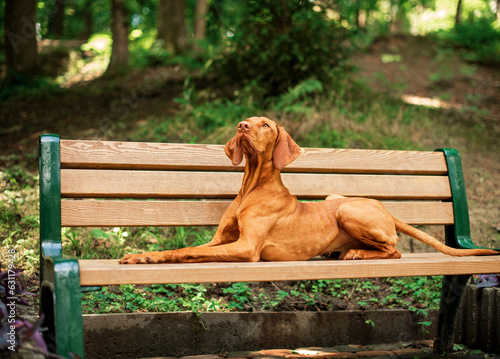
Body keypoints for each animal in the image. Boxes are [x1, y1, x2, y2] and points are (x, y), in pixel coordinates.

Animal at [119, 118, 498, 264]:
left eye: (265, 125)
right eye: (247, 120)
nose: (242, 126)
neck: (252, 187)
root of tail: (387, 208)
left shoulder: (246, 248)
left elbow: (187, 252)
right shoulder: (219, 241)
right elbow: (187, 247)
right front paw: (145, 256)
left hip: (347, 209)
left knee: (394, 251)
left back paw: (356, 253)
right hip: (336, 200)